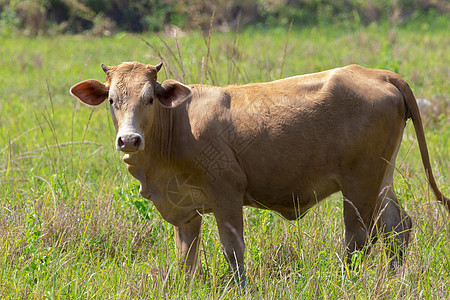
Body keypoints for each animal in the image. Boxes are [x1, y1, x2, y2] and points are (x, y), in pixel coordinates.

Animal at [69, 61, 446, 286]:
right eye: (112, 100)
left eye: (149, 98)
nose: (129, 139)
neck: (177, 125)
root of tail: (377, 73)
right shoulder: (185, 210)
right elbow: (186, 259)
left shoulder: (226, 192)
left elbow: (233, 250)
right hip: (382, 178)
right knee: (398, 227)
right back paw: (397, 279)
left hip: (360, 183)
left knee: (359, 237)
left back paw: (345, 280)